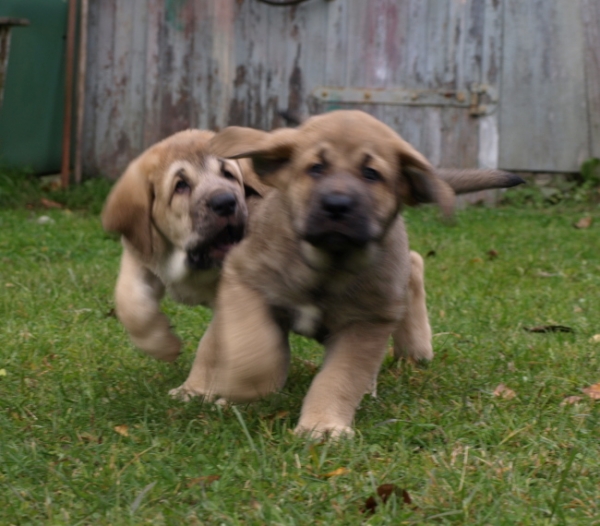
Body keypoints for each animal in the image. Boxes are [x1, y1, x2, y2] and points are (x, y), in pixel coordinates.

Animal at [102, 131, 266, 364]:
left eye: (228, 174)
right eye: (181, 186)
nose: (225, 202)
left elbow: (218, 343)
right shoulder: (140, 254)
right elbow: (130, 304)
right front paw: (163, 345)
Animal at [171, 110, 458, 438]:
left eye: (371, 173)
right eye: (316, 168)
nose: (337, 205)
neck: (327, 268)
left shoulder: (367, 322)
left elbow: (339, 378)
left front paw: (323, 425)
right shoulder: (245, 279)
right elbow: (256, 347)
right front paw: (246, 388)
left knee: (413, 264)